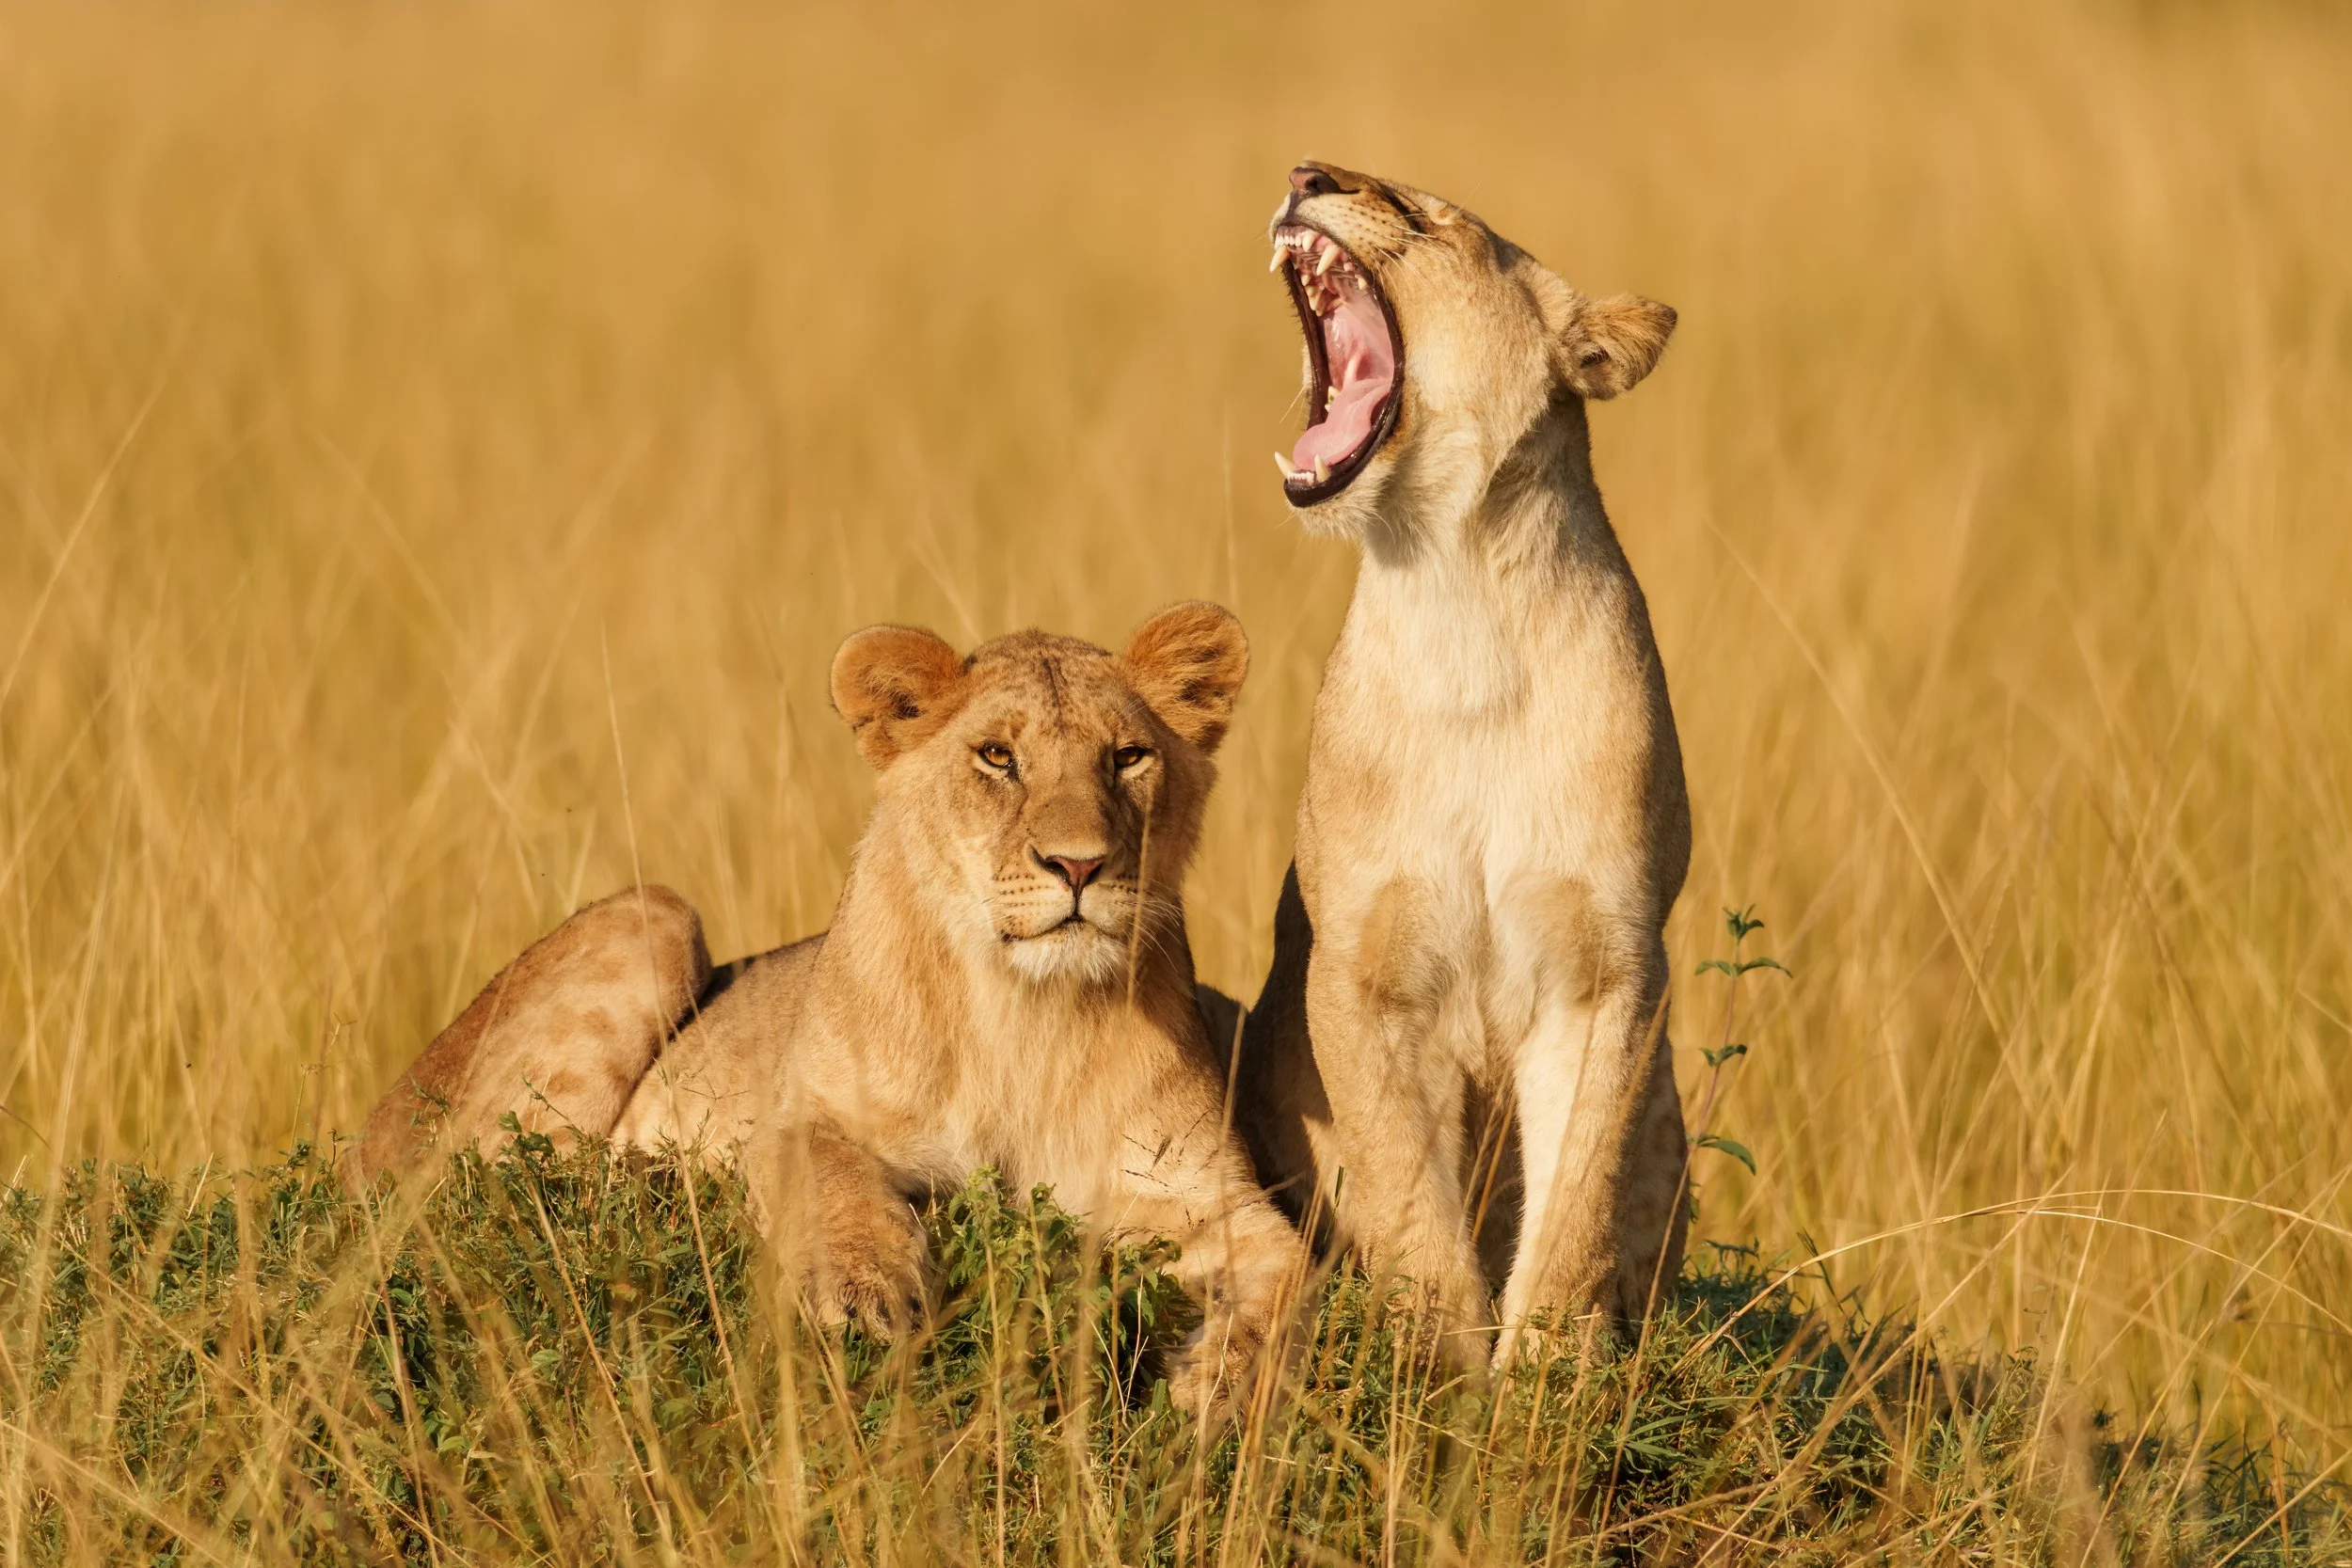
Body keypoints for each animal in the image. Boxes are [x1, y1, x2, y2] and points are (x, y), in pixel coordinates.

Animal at [356, 603, 1306, 1414]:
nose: (1079, 864)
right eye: (997, 756)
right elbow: (836, 1175)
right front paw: (867, 1293)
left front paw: (1219, 1382)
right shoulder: (796, 1115)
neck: (1027, 1014)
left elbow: (1289, 1267)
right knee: (474, 1192)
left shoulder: (1208, 1194)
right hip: (653, 917)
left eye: (1128, 757)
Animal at [1239, 162, 1691, 1364]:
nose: (1302, 176)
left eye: (1415, 211)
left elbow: (1577, 1196)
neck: (1457, 595)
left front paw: (1545, 1369)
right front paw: (1438, 1364)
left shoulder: (1607, 970)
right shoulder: (1360, 971)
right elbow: (1406, 1194)